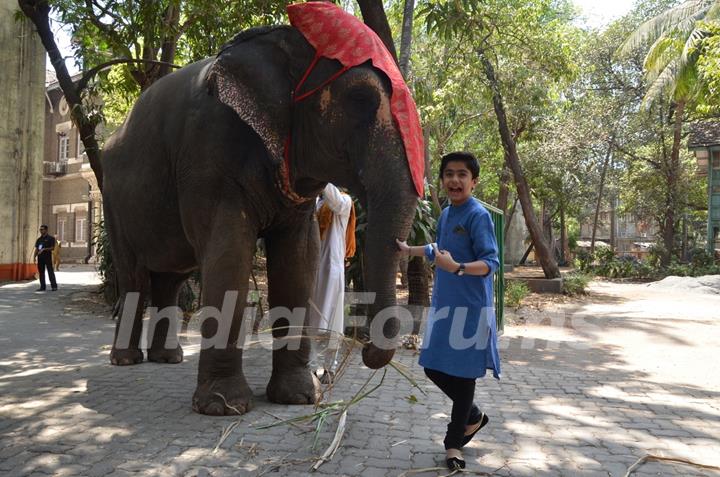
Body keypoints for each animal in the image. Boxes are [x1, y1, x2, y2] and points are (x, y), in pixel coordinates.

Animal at [102, 11, 422, 414]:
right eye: (360, 98)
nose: (363, 346)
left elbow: (299, 261)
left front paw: (299, 397)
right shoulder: (209, 153)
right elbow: (230, 254)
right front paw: (222, 406)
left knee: (170, 280)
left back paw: (168, 358)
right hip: (113, 202)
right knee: (134, 277)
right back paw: (126, 360)